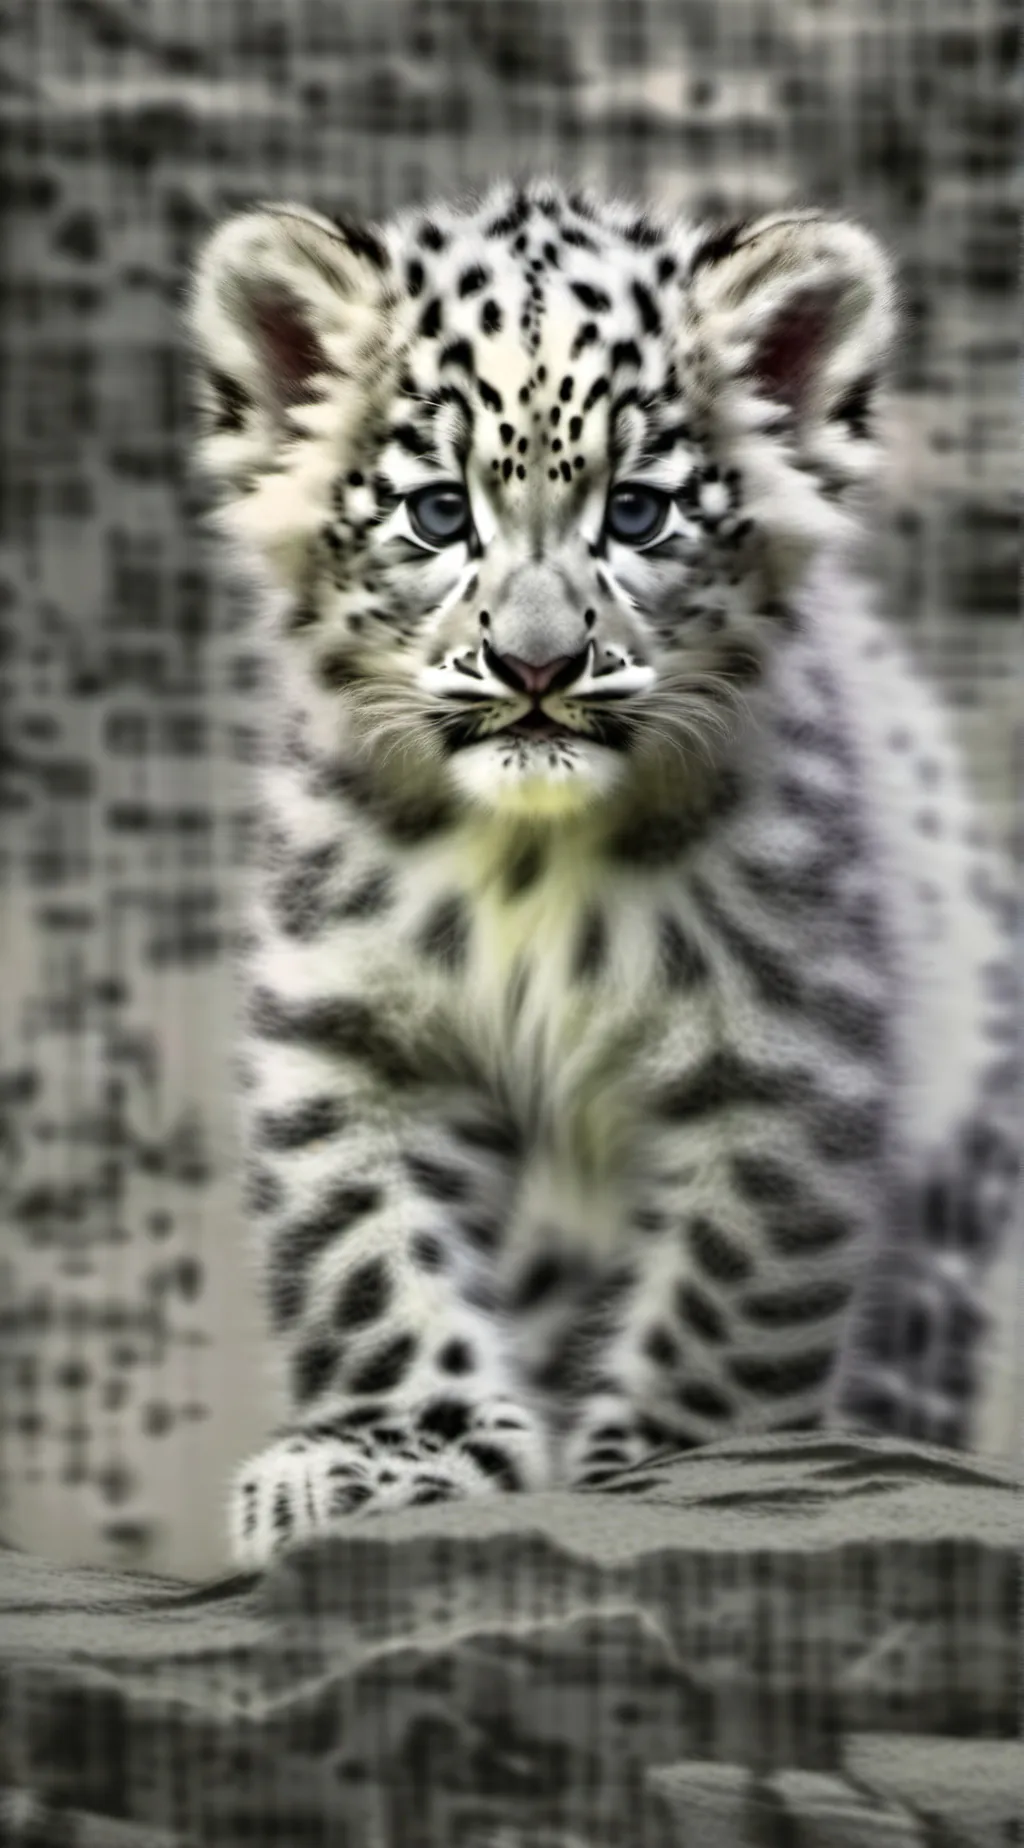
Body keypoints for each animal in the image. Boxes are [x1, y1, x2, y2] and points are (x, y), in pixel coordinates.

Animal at [188, 179, 1019, 1569]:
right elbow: (373, 1254)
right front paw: (392, 1458)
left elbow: (723, 1299)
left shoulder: (784, 1056)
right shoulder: (348, 1027)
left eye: (637, 512)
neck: (528, 860)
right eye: (437, 511)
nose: (535, 668)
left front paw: (671, 1476)